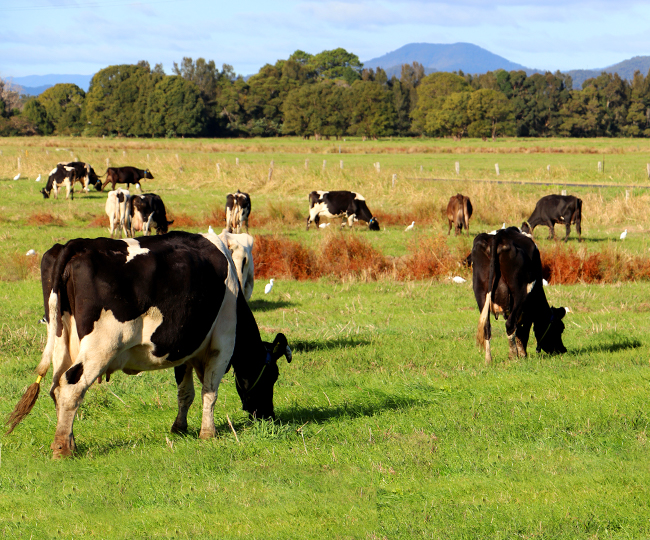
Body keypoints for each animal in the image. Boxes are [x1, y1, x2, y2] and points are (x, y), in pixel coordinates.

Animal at [5, 230, 292, 458]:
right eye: (273, 376)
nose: (268, 416)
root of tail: (76, 245)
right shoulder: (222, 344)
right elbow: (210, 392)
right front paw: (208, 432)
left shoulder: (184, 348)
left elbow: (185, 392)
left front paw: (179, 428)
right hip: (100, 346)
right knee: (71, 387)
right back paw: (63, 448)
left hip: (61, 341)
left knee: (56, 388)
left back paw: (70, 441)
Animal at [470, 226, 568, 364]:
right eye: (560, 328)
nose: (563, 349)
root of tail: (498, 236)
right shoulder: (527, 307)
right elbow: (523, 329)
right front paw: (522, 354)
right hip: (520, 292)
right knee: (510, 324)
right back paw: (513, 356)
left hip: (480, 292)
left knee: (487, 327)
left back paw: (488, 359)